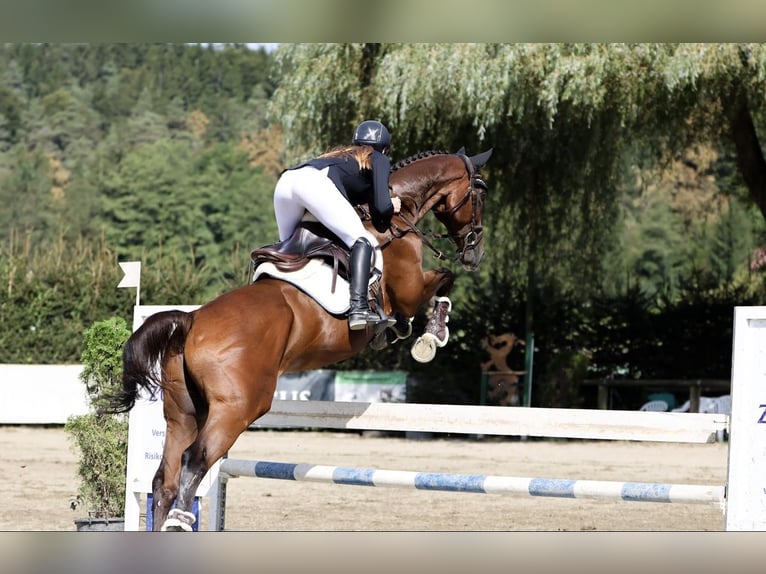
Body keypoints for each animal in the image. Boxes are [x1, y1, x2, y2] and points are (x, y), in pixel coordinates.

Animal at [103, 147, 492, 532]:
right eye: (481, 191)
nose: (475, 253)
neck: (396, 218)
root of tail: (191, 319)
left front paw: (409, 331)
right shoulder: (409, 290)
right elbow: (443, 279)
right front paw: (431, 333)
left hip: (184, 412)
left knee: (163, 479)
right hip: (237, 407)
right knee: (194, 460)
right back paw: (181, 522)